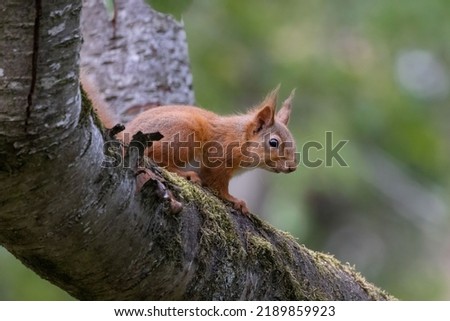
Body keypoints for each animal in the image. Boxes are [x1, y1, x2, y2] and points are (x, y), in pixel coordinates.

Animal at [82, 73, 298, 212]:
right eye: (273, 142)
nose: (292, 167)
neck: (240, 138)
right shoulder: (218, 158)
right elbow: (217, 184)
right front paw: (234, 199)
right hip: (185, 134)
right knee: (160, 160)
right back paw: (185, 174)